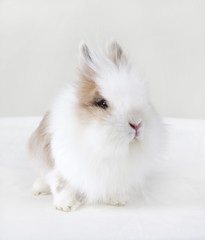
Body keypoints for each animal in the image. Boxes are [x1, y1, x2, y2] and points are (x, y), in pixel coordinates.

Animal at [28, 41, 165, 212]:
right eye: (102, 103)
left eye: (144, 98)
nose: (136, 124)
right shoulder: (59, 164)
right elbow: (61, 185)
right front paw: (66, 205)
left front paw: (118, 200)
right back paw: (38, 189)